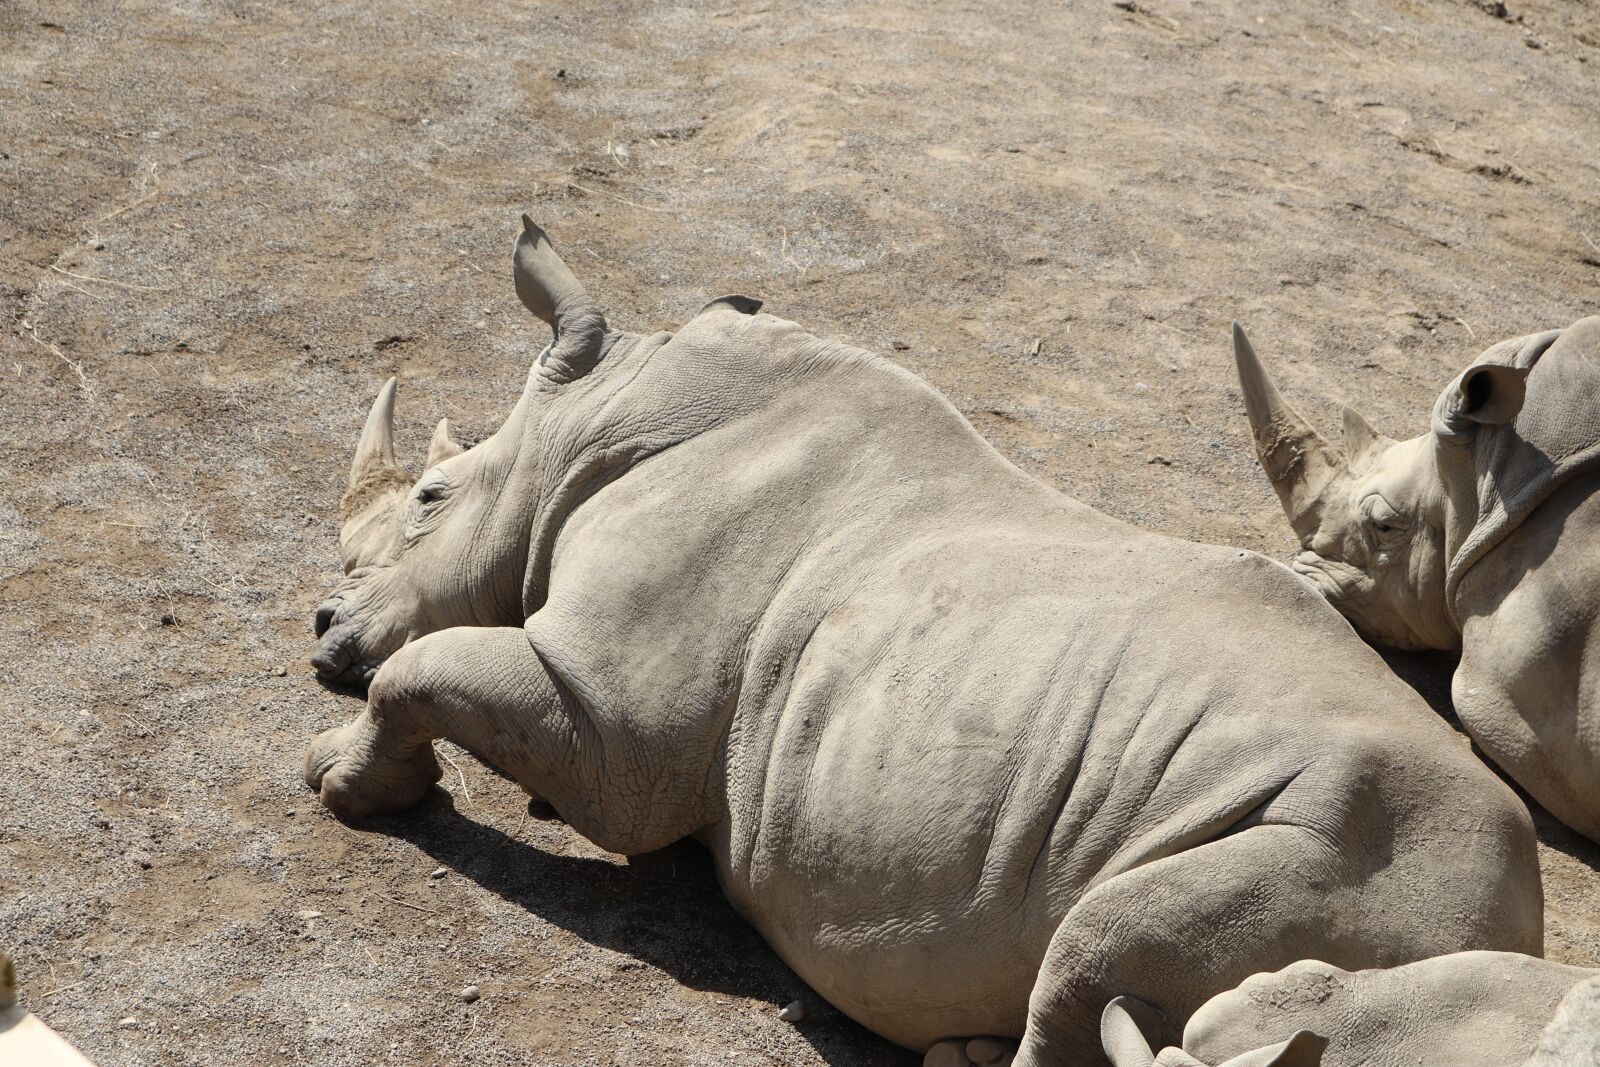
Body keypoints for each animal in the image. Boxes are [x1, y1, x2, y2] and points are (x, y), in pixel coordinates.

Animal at [304, 217, 1542, 1065]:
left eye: (429, 496)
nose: (321, 631)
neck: (594, 423)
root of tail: (1518, 922)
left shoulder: (614, 722)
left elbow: (429, 670)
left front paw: (342, 781)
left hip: (1358, 850)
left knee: (1102, 940)